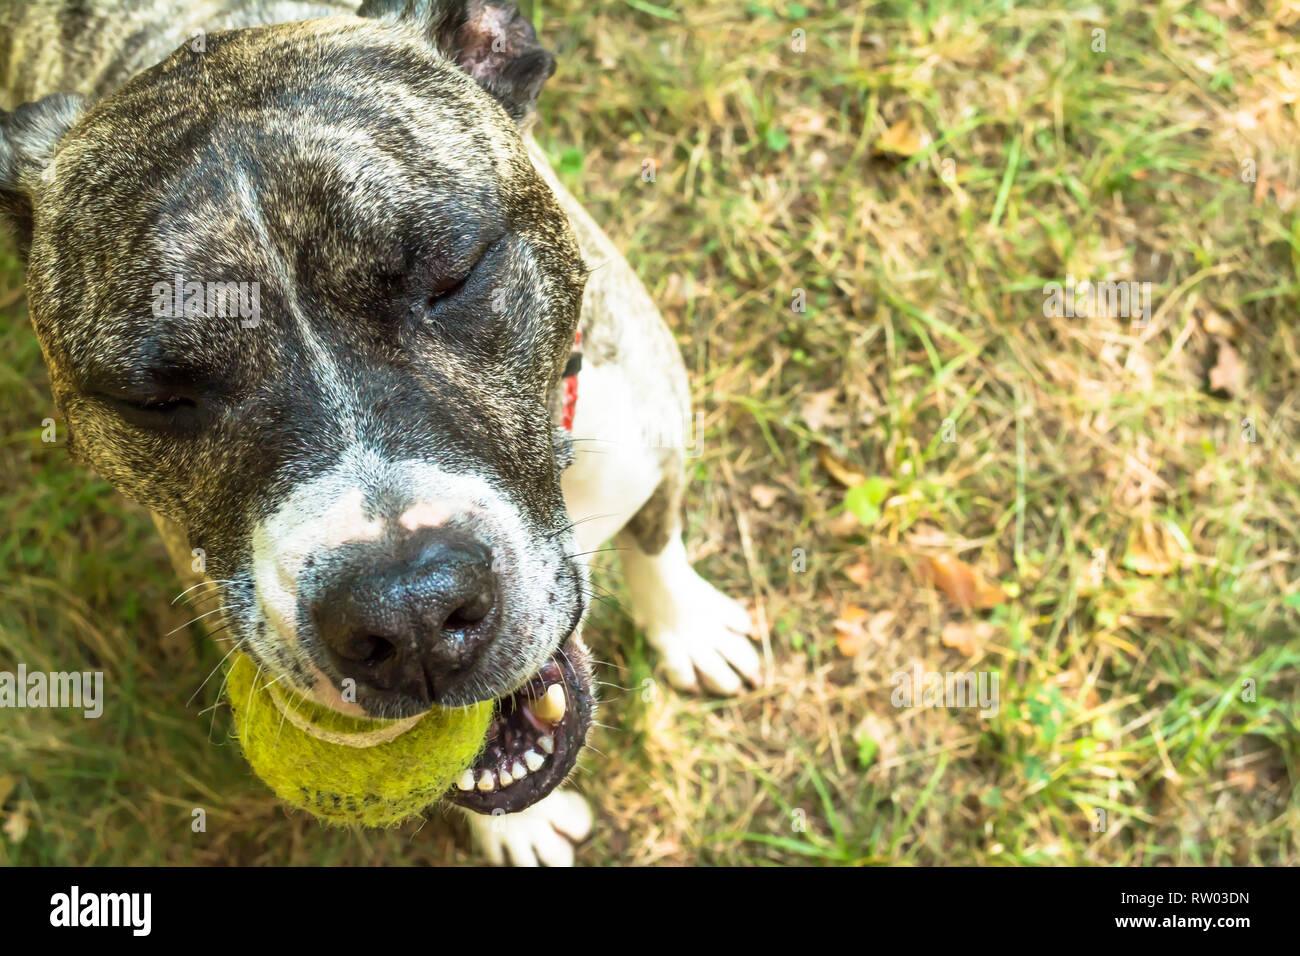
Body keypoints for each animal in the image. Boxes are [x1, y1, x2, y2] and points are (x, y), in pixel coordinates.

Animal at [0, 0, 759, 868]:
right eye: (157, 399)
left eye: (456, 273)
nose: (410, 616)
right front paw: (521, 827)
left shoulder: (652, 426)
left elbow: (658, 539)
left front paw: (689, 626)